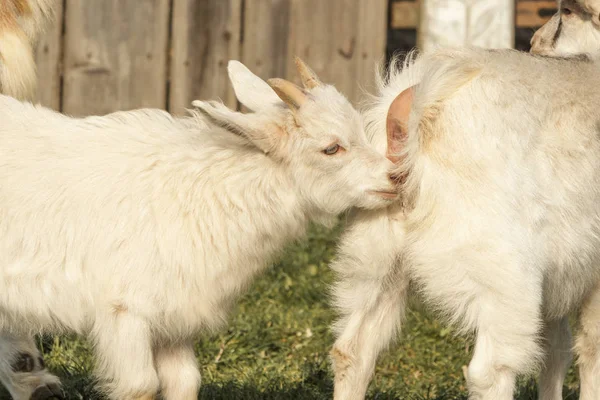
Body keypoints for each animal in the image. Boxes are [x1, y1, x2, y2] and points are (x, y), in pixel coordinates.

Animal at [0, 57, 398, 400]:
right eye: (331, 148)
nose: (394, 177)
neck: (198, 188)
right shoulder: (125, 310)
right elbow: (141, 386)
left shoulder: (173, 314)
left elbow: (185, 382)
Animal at [330, 47, 600, 400]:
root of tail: (413, 108)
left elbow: (557, 351)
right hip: (500, 277)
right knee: (490, 372)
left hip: (374, 256)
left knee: (352, 350)